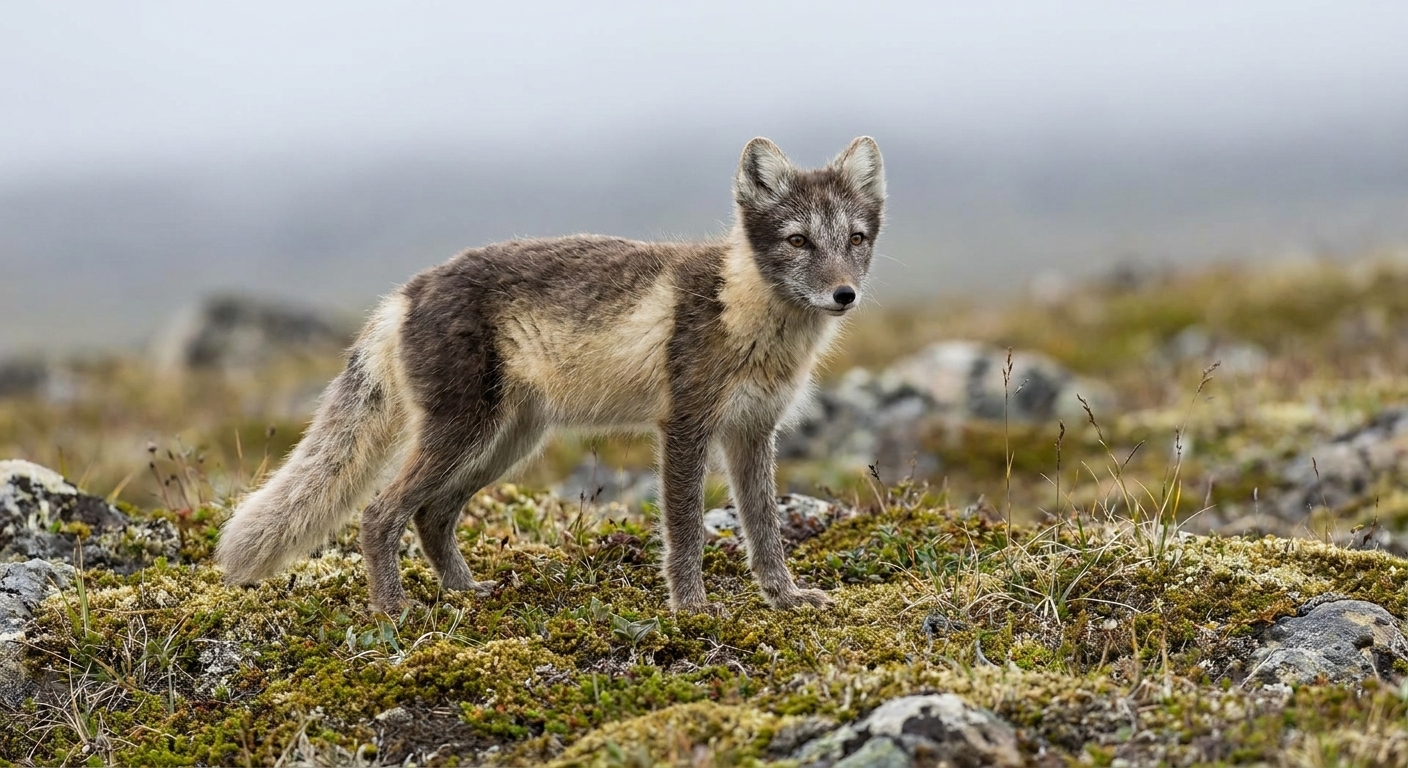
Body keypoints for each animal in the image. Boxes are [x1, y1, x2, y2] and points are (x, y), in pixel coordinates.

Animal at [214, 136, 886, 614]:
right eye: (798, 241)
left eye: (856, 238)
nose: (845, 295)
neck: (746, 314)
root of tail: (405, 292)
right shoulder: (685, 426)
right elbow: (686, 530)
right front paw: (692, 610)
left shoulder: (751, 433)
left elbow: (765, 531)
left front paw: (785, 598)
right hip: (464, 431)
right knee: (380, 513)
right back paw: (394, 612)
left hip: (505, 442)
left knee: (432, 515)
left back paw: (465, 593)